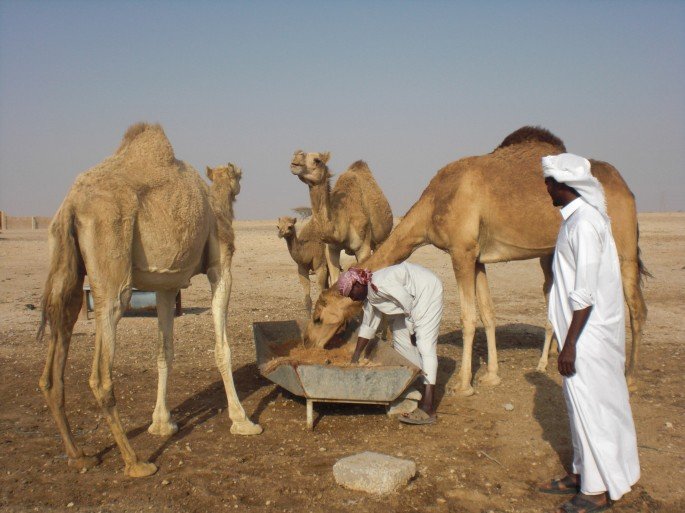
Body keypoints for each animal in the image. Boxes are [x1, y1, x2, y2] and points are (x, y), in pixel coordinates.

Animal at [37, 123, 262, 478]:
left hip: (66, 263)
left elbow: (164, 351)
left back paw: (79, 455)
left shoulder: (166, 285)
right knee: (101, 372)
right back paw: (135, 461)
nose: (241, 180)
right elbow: (222, 348)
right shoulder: (221, 267)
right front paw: (243, 421)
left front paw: (162, 423)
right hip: (112, 262)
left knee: (56, 353)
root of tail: (72, 204)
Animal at [290, 151, 393, 283]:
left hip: (382, 240)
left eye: (317, 160)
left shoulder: (363, 248)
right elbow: (335, 280)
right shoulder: (331, 250)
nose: (295, 160)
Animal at [304, 126, 648, 395]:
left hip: (623, 246)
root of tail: (626, 186)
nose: (308, 342)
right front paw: (492, 376)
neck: (435, 203)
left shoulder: (461, 251)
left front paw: (463, 383)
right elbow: (488, 313)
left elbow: (468, 317)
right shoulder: (478, 258)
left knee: (636, 308)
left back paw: (630, 378)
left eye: (319, 317)